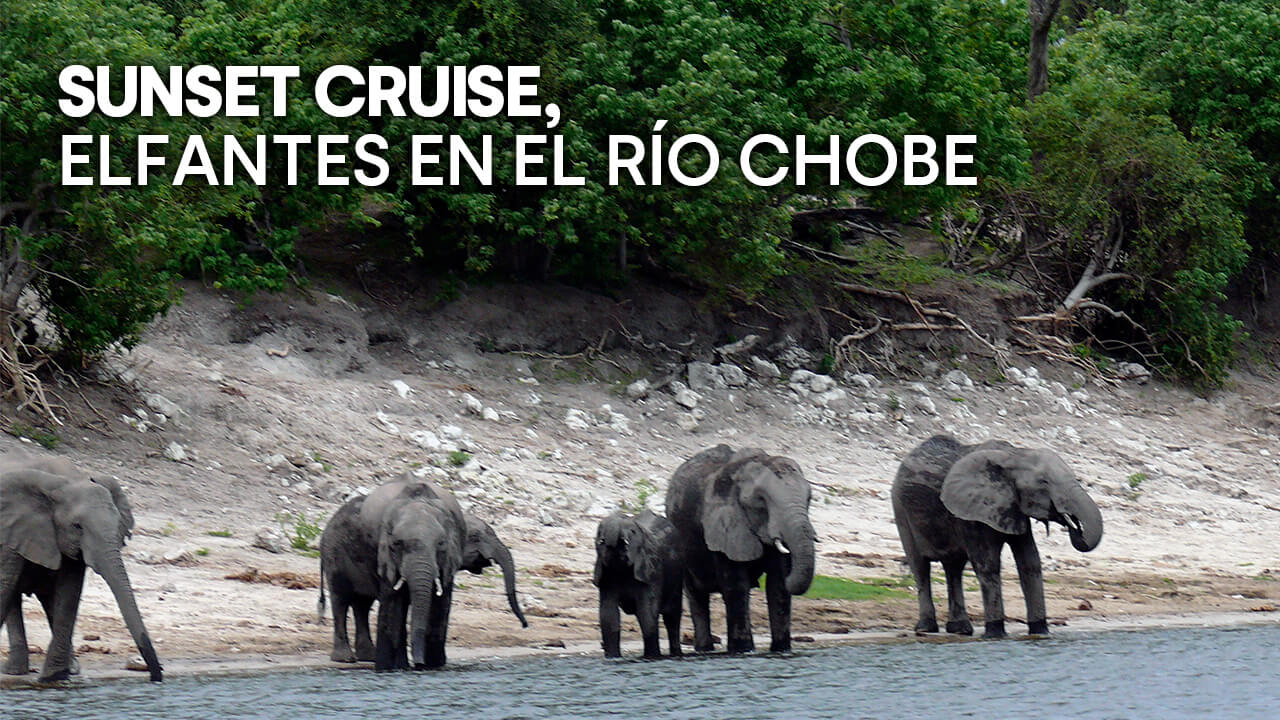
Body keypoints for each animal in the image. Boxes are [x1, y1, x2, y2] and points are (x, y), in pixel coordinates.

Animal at [0, 451, 163, 682]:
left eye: (118, 525)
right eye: (77, 526)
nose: (156, 677)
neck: (64, 482)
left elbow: (69, 592)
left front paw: (53, 678)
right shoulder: (12, 529)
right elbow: (6, 583)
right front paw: (53, 677)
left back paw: (69, 669)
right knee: (13, 594)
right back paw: (16, 671)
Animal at [592, 509, 683, 659]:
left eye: (633, 532)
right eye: (599, 532)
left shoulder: (651, 570)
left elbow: (646, 612)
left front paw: (652, 657)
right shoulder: (606, 576)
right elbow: (608, 614)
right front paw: (612, 657)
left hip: (677, 574)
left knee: (672, 616)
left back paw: (676, 654)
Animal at [665, 445, 816, 654]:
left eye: (809, 499)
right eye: (761, 500)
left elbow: (777, 586)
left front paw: (781, 650)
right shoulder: (721, 526)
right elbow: (737, 585)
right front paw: (743, 650)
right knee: (696, 594)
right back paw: (704, 649)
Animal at [892, 434, 1104, 638]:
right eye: (1044, 482)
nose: (1074, 524)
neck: (1015, 455)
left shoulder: (1013, 508)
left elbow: (1030, 563)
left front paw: (1040, 632)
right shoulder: (972, 512)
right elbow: (988, 565)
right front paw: (995, 634)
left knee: (954, 568)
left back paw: (960, 630)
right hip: (900, 510)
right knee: (920, 568)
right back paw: (926, 628)